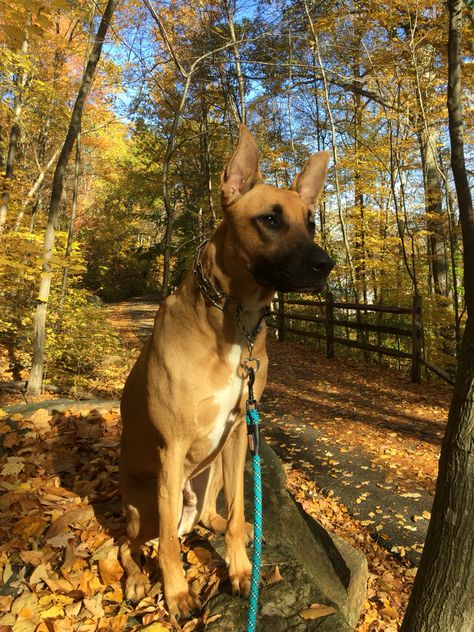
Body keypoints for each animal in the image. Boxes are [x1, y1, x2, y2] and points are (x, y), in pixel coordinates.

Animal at [118, 126, 334, 620]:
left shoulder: (238, 432)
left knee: (211, 513)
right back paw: (138, 577)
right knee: (129, 545)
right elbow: (168, 551)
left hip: (213, 469)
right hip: (147, 500)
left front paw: (240, 569)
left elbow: (237, 513)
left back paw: (227, 524)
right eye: (270, 219)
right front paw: (177, 594)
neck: (234, 321)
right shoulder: (172, 446)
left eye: (311, 222)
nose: (325, 265)